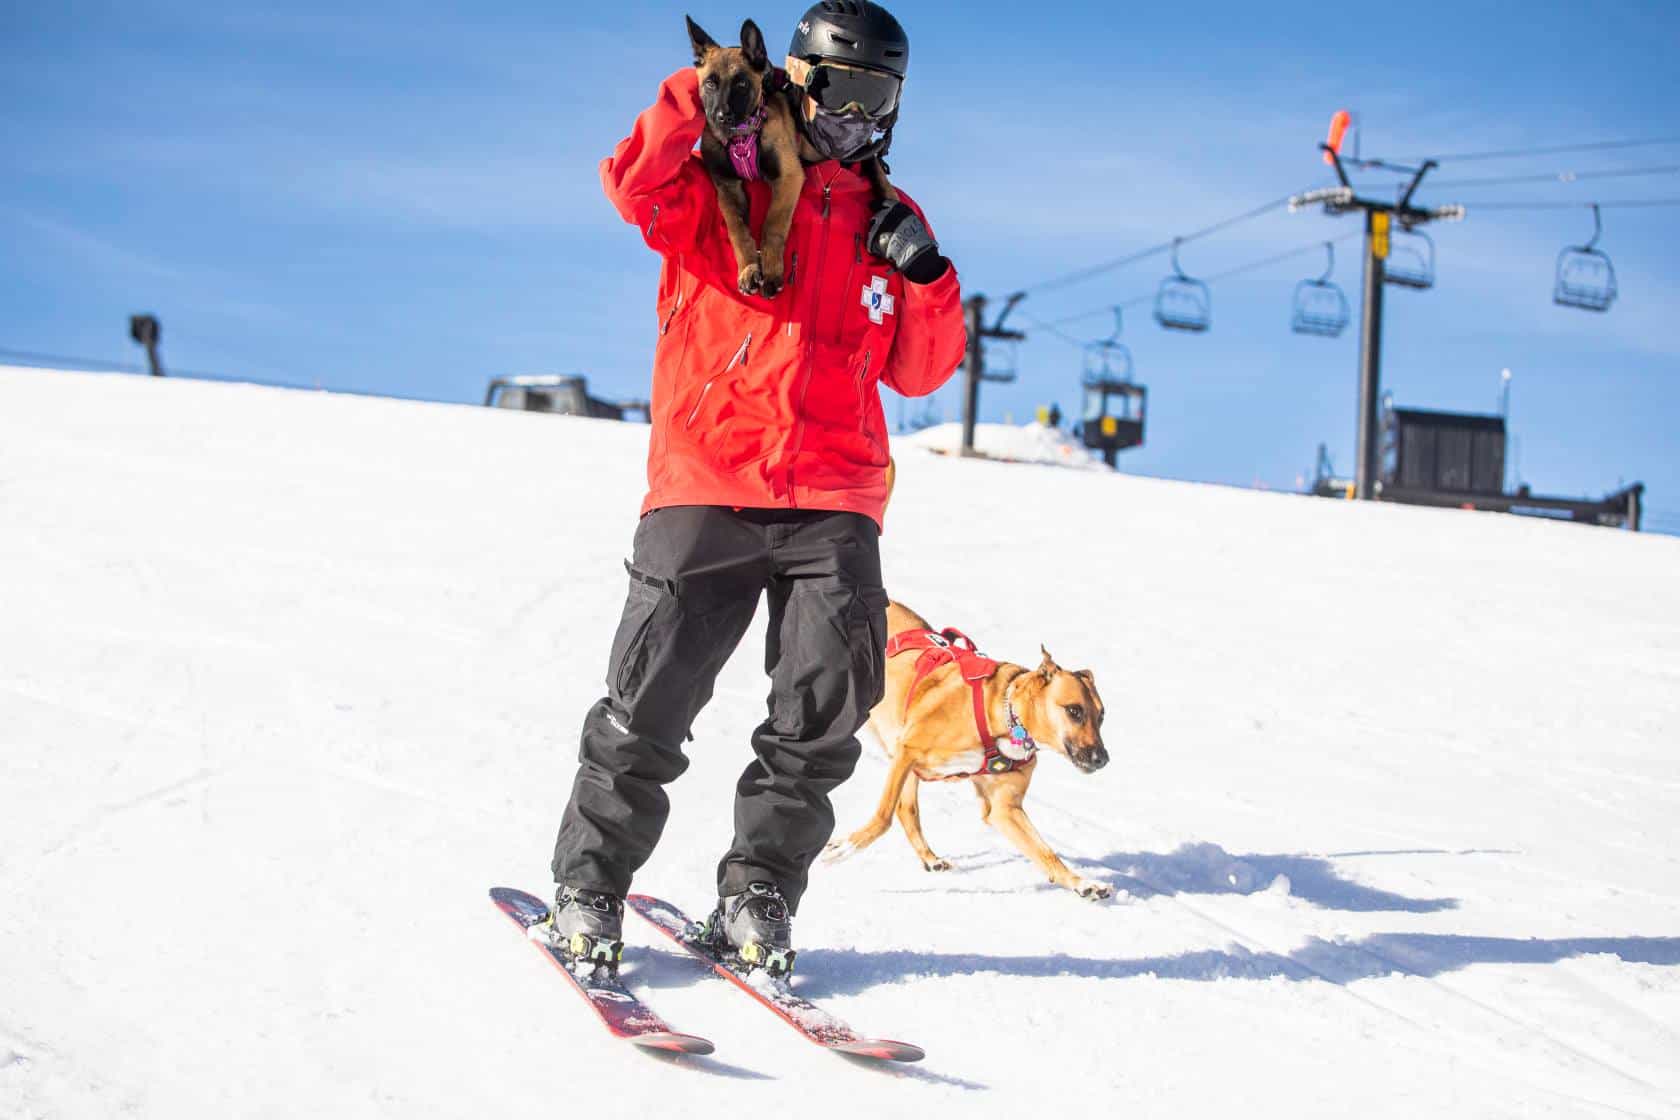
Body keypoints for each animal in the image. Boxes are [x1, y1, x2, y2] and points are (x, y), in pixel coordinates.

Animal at [819, 601, 1108, 900]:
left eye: (1102, 716)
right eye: (1074, 711)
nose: (1102, 759)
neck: (1006, 717)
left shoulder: (1004, 808)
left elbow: (1046, 853)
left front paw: (1082, 883)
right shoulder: (907, 750)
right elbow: (882, 817)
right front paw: (844, 848)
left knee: (907, 810)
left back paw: (930, 858)